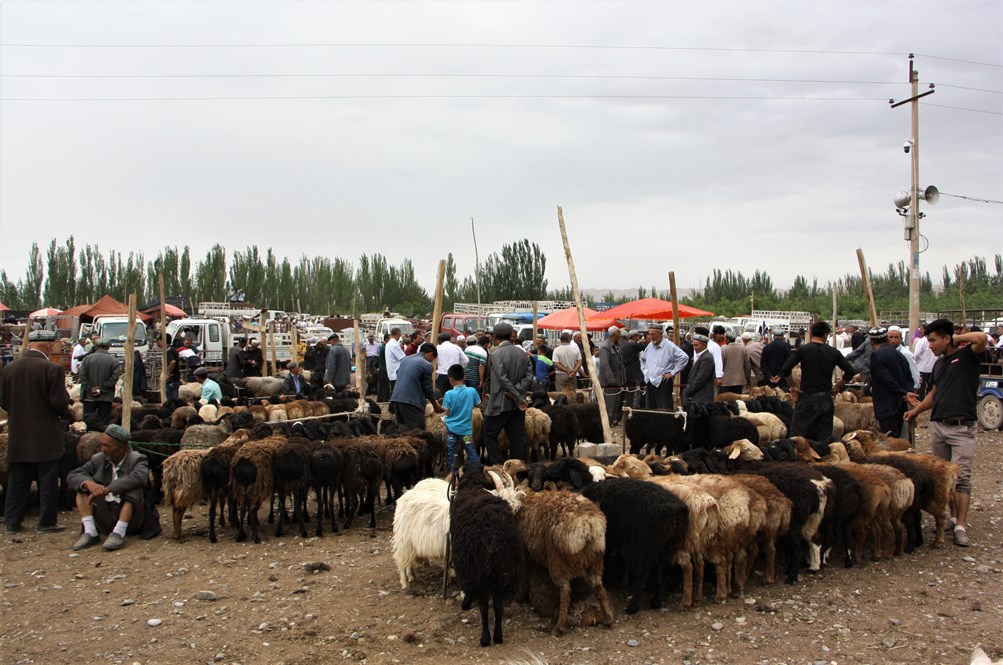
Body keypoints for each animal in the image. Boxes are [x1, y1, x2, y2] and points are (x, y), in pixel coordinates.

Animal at [449, 463, 525, 645]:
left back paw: (485, 638)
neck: (472, 485)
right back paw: (498, 636)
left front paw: (465, 603)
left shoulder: (464, 562)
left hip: (480, 573)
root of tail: (493, 536)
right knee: (498, 604)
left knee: (483, 606)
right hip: (502, 572)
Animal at [517, 489, 609, 633]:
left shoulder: (524, 550)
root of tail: (587, 525)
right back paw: (608, 619)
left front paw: (518, 598)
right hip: (596, 558)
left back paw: (559, 627)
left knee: (565, 591)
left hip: (557, 560)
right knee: (598, 586)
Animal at [581, 479, 690, 613]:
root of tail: (676, 511)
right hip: (664, 549)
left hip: (643, 548)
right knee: (659, 576)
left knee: (642, 580)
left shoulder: (607, 539)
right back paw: (656, 602)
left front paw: (606, 583)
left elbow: (605, 560)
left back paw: (632, 607)